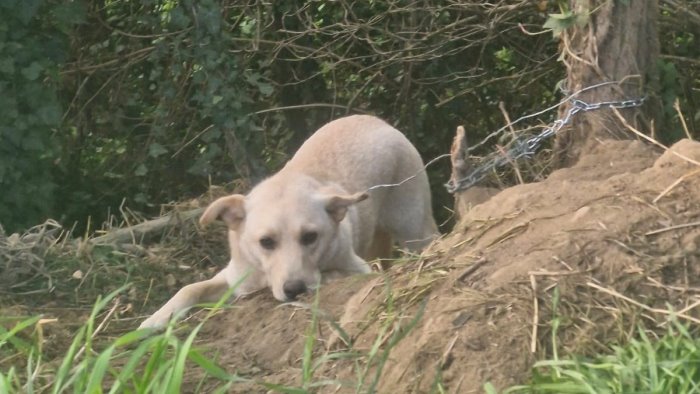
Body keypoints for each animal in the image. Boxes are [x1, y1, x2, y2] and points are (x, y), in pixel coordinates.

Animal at [139, 114, 438, 330]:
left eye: (310, 237)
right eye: (266, 242)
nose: (294, 289)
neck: (264, 274)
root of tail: (378, 121)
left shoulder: (357, 268)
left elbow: (332, 274)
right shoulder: (234, 279)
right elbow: (189, 288)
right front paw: (156, 319)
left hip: (415, 230)